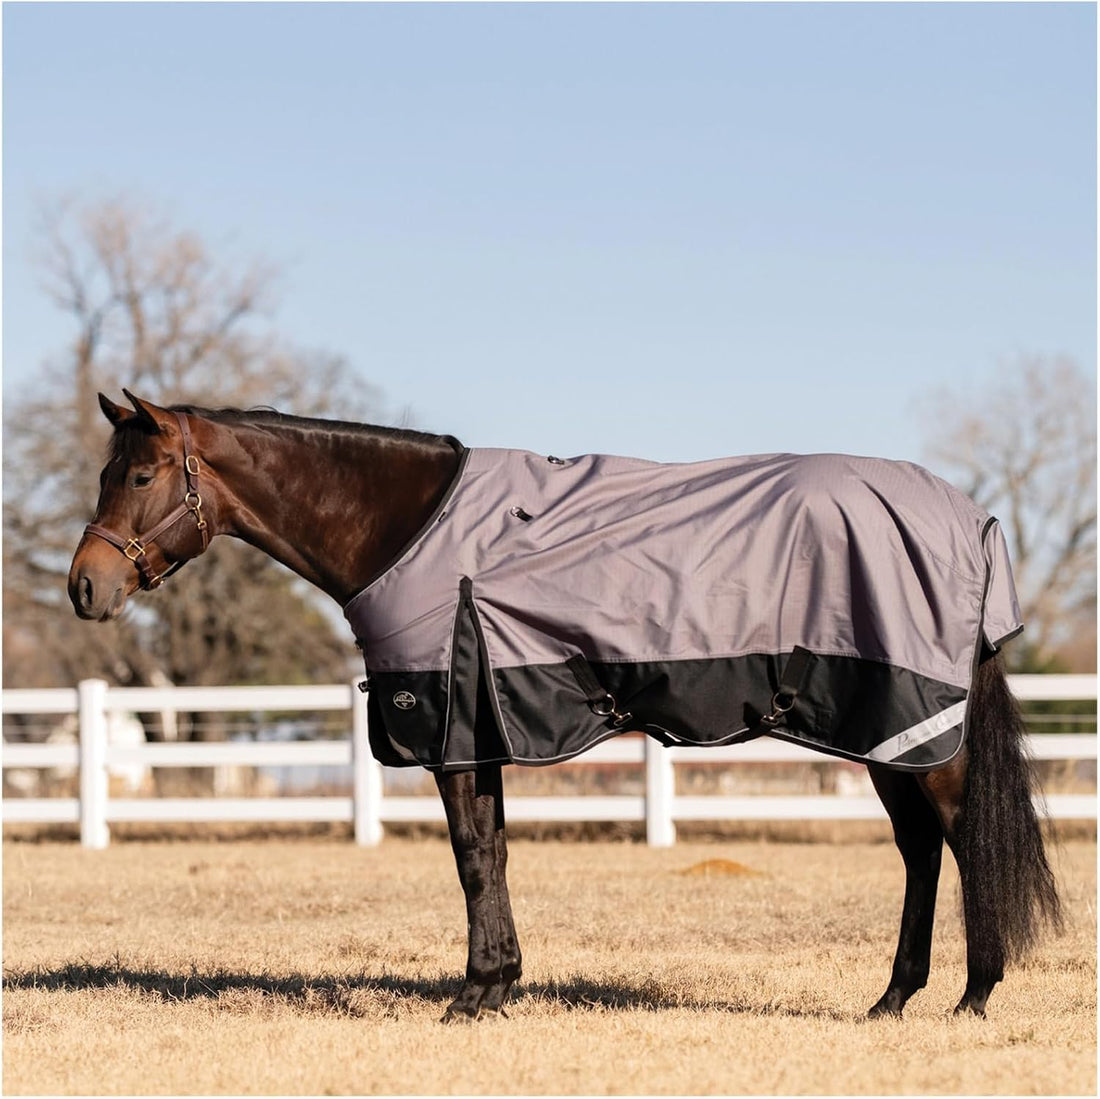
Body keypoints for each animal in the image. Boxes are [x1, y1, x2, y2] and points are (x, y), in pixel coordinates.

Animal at [68, 390, 1061, 1021]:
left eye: (143, 475)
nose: (85, 586)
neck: (408, 529)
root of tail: (973, 523)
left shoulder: (451, 727)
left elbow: (473, 859)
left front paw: (472, 996)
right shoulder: (485, 728)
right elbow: (497, 854)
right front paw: (501, 984)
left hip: (918, 726)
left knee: (961, 837)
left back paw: (974, 994)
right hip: (887, 732)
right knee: (920, 850)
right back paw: (893, 997)